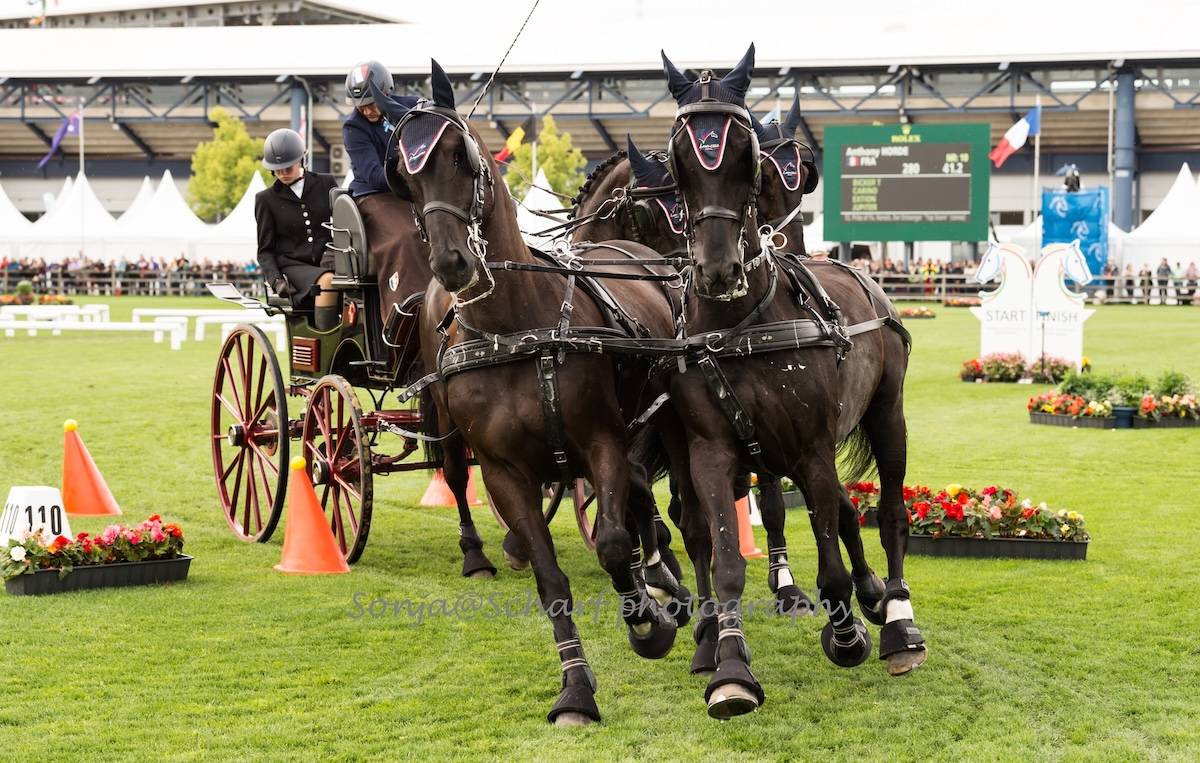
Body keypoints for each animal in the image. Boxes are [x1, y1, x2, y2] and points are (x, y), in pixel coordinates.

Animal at [378, 61, 687, 726]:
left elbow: (615, 542)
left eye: (462, 154)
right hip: (444, 422)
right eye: (405, 176)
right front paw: (575, 690)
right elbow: (550, 580)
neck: (514, 326)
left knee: (639, 498)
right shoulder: (504, 472)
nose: (453, 262)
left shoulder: (602, 441)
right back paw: (477, 554)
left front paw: (649, 620)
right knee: (454, 475)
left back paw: (664, 582)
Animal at [653, 44, 926, 718]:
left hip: (887, 415)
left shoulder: (810, 447)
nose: (717, 269)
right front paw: (729, 666)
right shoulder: (713, 451)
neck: (743, 323)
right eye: (679, 158)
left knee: (889, 513)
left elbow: (831, 560)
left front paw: (848, 633)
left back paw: (898, 618)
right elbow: (726, 556)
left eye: (743, 153)